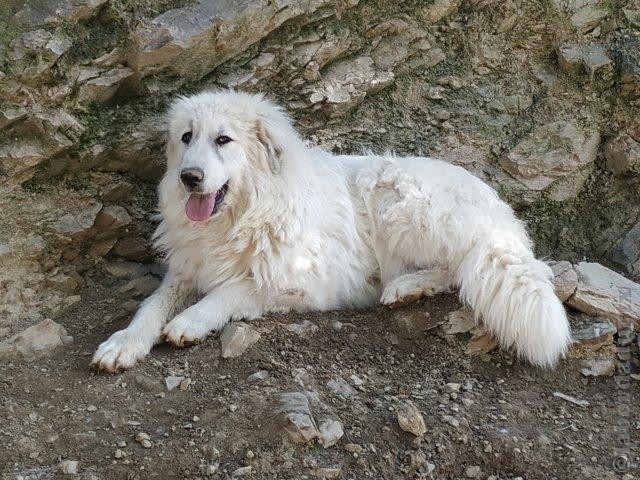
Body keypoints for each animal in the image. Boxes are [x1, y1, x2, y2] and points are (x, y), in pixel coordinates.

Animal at [90, 91, 568, 376]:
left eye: (223, 139)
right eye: (186, 137)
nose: (189, 177)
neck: (242, 217)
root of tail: (499, 210)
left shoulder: (304, 285)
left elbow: (232, 290)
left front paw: (190, 320)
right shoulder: (184, 273)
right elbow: (151, 306)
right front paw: (123, 343)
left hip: (396, 197)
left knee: (458, 268)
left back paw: (406, 287)